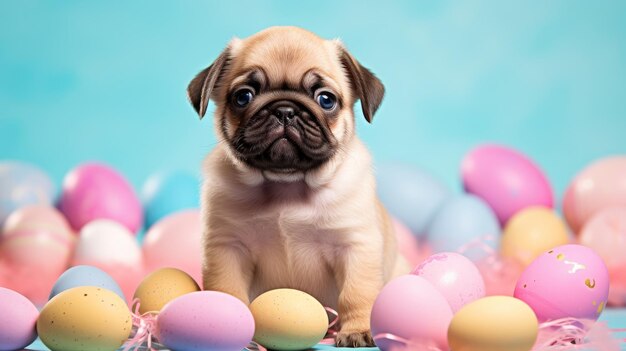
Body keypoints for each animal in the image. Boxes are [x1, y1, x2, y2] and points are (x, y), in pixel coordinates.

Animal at [188, 26, 408, 348]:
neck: (287, 185)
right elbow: (228, 290)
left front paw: (358, 329)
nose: (284, 110)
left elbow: (357, 293)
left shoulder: (355, 246)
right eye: (243, 96)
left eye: (326, 99)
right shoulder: (227, 247)